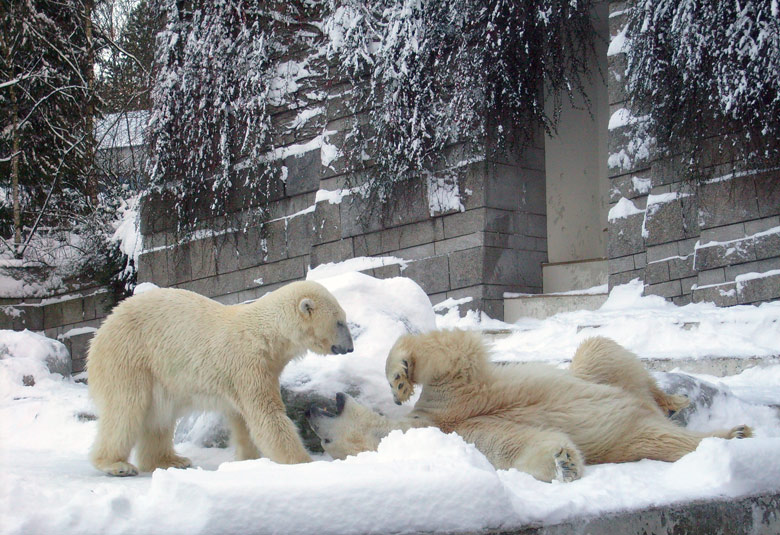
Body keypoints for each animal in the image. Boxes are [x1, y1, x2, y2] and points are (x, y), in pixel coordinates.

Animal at [87, 280, 352, 478]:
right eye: (340, 322)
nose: (349, 348)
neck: (265, 335)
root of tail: (101, 331)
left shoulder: (259, 370)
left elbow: (243, 420)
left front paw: (249, 459)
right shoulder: (247, 364)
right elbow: (268, 415)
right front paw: (304, 462)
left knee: (159, 418)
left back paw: (171, 460)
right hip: (129, 357)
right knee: (126, 408)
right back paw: (117, 465)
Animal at [308, 328, 752, 484]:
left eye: (325, 444)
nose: (310, 415)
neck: (423, 425)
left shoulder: (450, 402)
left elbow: (453, 355)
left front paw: (399, 376)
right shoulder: (467, 435)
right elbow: (514, 446)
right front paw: (563, 462)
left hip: (595, 371)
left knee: (600, 352)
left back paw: (674, 399)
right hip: (629, 435)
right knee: (658, 439)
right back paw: (731, 433)